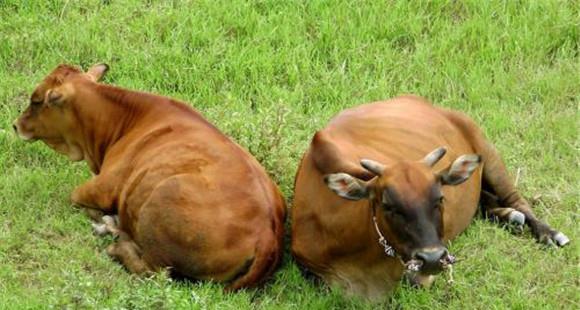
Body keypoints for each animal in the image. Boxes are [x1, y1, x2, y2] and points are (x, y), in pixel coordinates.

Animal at [13, 63, 286, 290]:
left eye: (36, 100)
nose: (16, 125)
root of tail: (267, 233)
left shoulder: (102, 187)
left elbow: (75, 197)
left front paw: (105, 220)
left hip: (163, 200)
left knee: (155, 273)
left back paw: (117, 242)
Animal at [292, 95, 568, 300]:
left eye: (440, 200)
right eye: (387, 205)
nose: (433, 258)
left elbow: (417, 280)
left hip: (487, 150)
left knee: (516, 199)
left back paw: (547, 232)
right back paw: (509, 216)